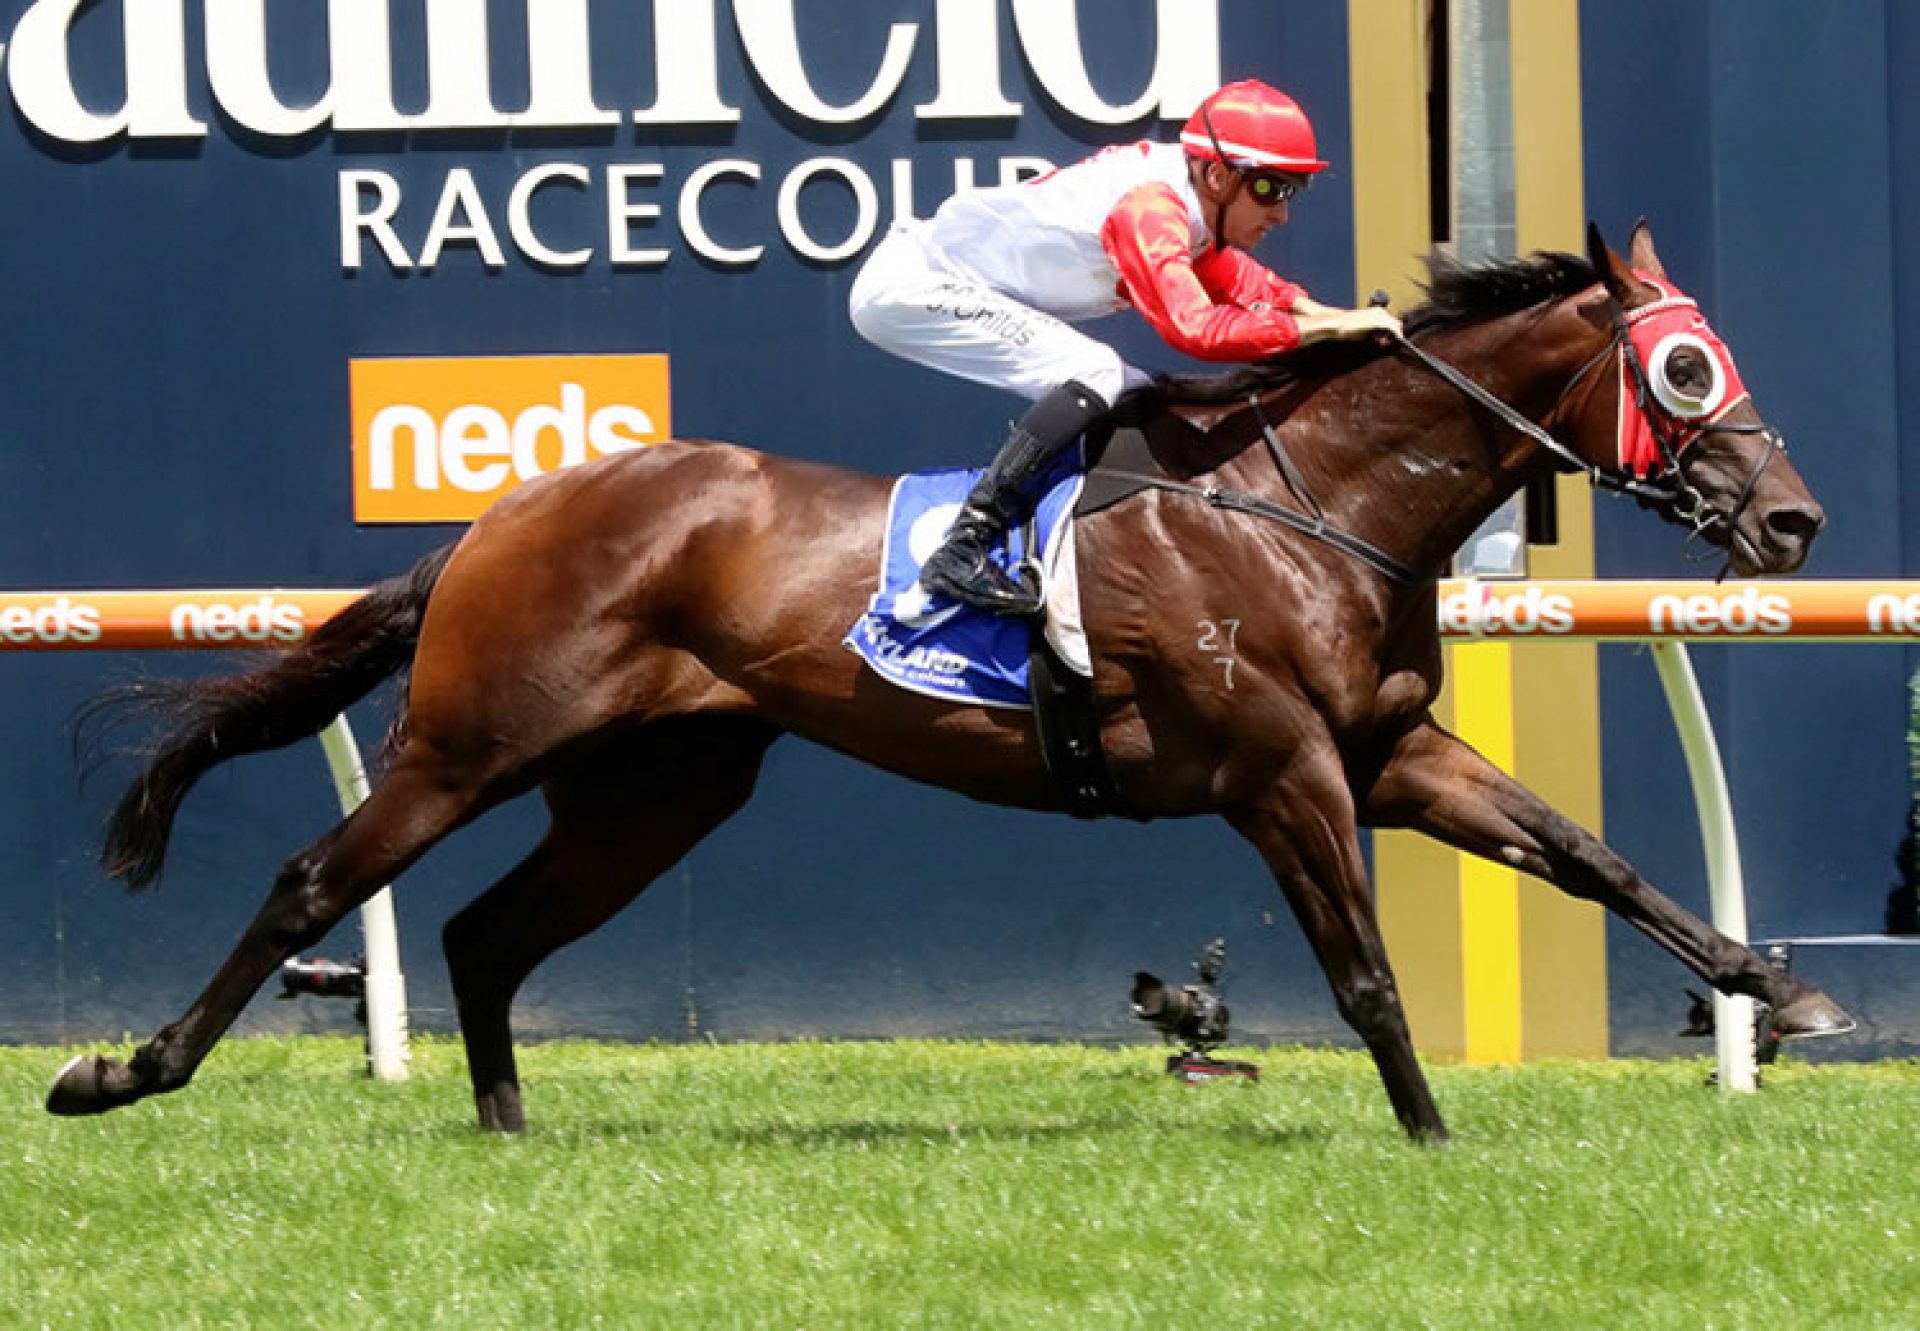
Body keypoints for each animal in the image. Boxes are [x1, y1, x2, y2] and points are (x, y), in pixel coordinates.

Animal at [45, 222, 1843, 1137]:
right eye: (1689, 366)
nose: (1792, 519)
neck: (1310, 504)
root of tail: (506, 512)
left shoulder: (1390, 752)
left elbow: (1591, 855)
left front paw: (1776, 988)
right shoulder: (1281, 774)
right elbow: (1367, 974)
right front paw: (1430, 1137)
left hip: (655, 791)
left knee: (489, 933)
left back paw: (504, 1131)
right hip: (470, 740)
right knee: (310, 882)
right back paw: (124, 1070)